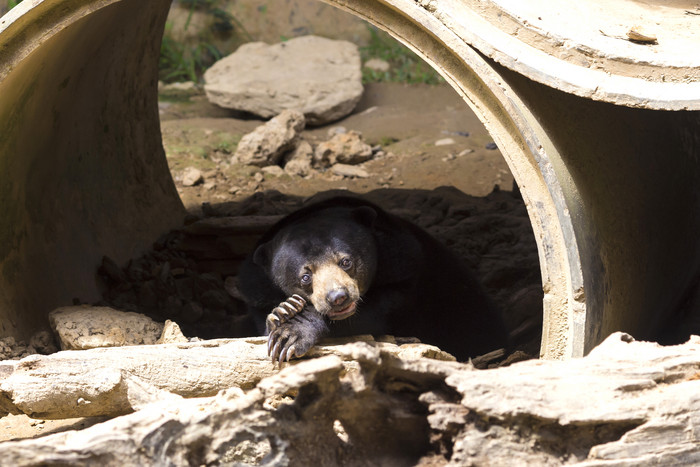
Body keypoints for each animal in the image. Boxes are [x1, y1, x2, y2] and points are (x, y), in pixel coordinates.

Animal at [237, 196, 508, 364]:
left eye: (346, 261)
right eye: (305, 276)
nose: (338, 297)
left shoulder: (405, 267)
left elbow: (372, 316)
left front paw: (292, 330)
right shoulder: (256, 292)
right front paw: (284, 312)